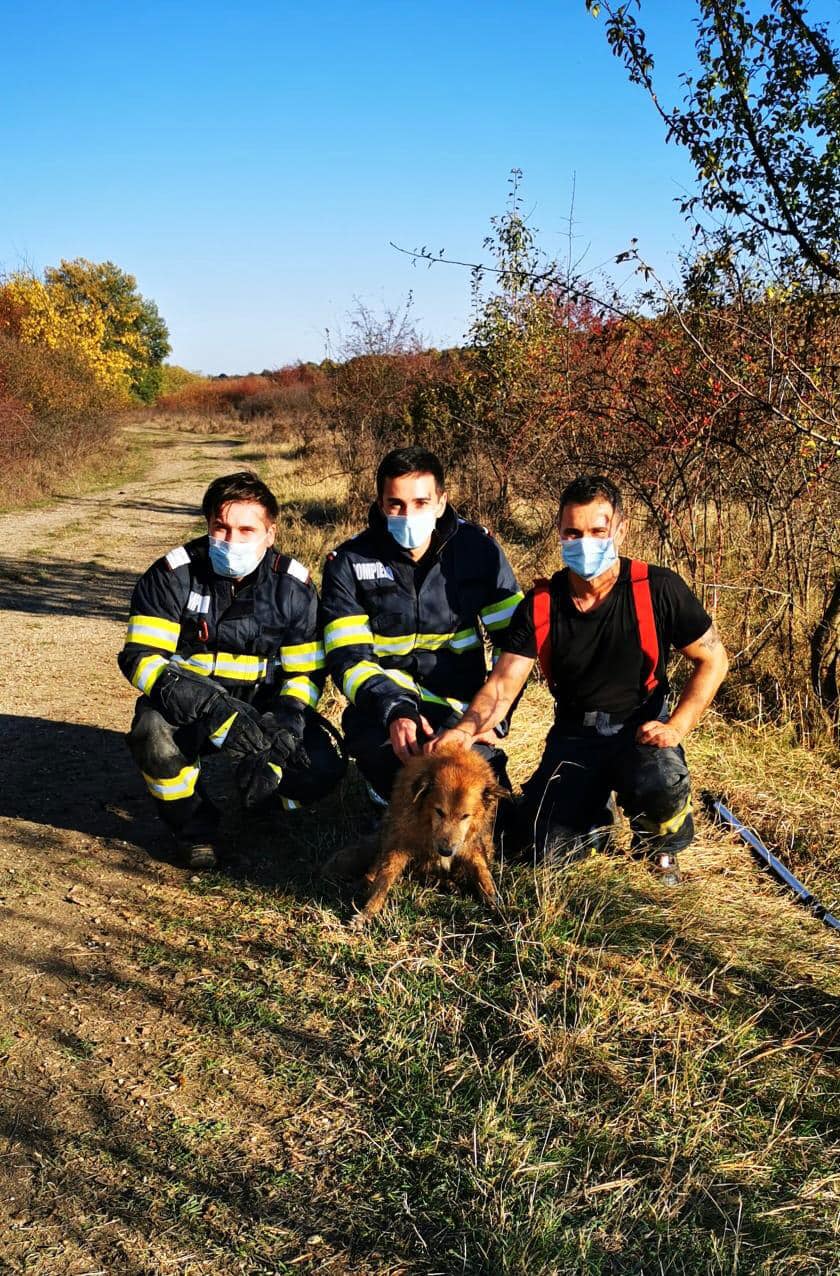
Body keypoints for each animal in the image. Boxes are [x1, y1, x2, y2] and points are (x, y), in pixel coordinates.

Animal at [331, 740, 502, 928]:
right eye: (439, 811)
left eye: (465, 816)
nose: (446, 852)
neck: (426, 821)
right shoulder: (399, 842)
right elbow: (383, 880)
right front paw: (368, 911)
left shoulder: (471, 845)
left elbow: (483, 873)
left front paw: (494, 902)